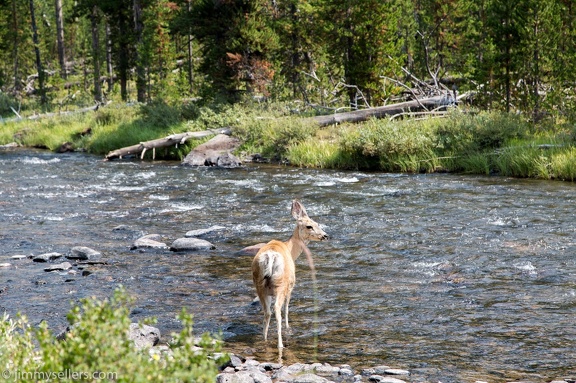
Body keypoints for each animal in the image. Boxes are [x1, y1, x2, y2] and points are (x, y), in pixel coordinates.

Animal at [252, 202, 328, 350]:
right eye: (309, 226)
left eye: (317, 223)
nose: (325, 235)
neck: (290, 249)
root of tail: (271, 256)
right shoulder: (291, 285)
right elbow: (287, 308)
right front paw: (288, 327)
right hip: (281, 283)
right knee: (277, 309)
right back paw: (280, 344)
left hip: (259, 285)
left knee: (267, 312)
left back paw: (264, 339)